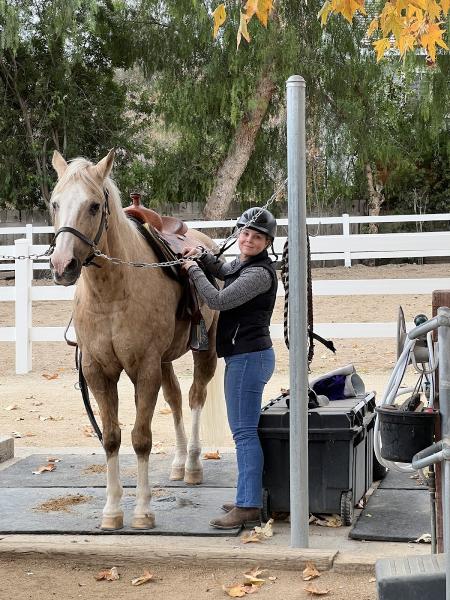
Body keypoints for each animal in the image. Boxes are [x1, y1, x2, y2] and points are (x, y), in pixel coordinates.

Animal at [49, 150, 218, 528]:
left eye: (94, 206)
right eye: (54, 203)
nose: (62, 265)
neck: (111, 293)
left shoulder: (144, 369)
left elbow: (141, 438)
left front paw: (142, 511)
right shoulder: (98, 372)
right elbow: (111, 438)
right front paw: (112, 511)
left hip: (206, 350)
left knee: (196, 397)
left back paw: (193, 464)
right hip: (166, 359)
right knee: (175, 399)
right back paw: (179, 463)